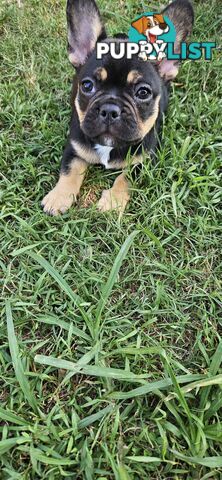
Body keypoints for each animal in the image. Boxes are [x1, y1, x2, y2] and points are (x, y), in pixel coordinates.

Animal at [41, 0, 193, 215]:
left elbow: (126, 177)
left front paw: (112, 202)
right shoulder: (74, 145)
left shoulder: (145, 159)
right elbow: (69, 168)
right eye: (87, 86)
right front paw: (58, 197)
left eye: (143, 92)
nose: (110, 110)